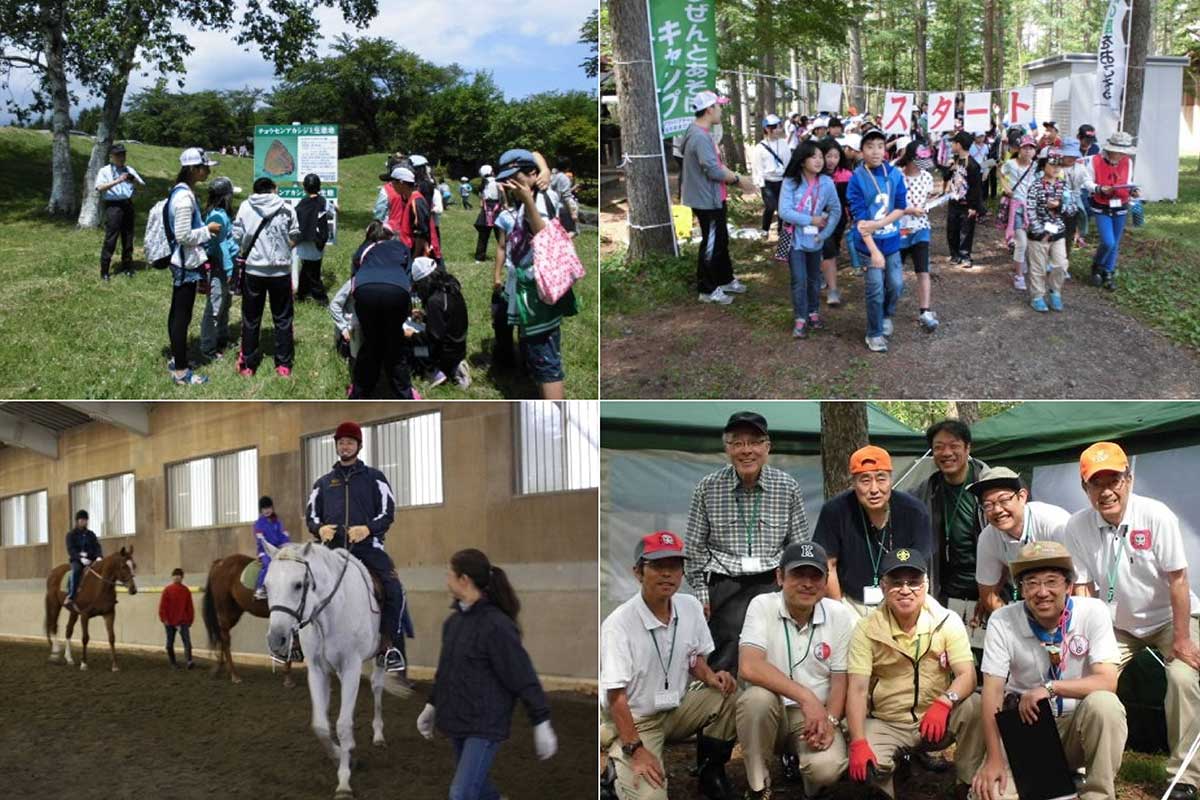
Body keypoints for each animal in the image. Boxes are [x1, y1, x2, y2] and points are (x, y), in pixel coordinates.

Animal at [201, 551, 295, 690]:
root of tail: (220, 563)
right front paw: (288, 678)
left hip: (234, 613)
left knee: (221, 636)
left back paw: (219, 669)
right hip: (224, 610)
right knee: (225, 638)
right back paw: (234, 675)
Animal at [262, 542, 388, 796]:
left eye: (298, 584)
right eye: (267, 586)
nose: (276, 640)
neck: (329, 615)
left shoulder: (351, 668)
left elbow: (343, 725)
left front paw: (344, 782)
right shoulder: (318, 670)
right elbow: (320, 726)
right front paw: (342, 756)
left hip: (379, 656)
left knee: (377, 688)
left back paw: (379, 734)